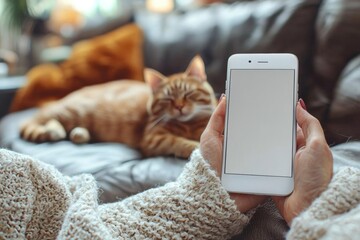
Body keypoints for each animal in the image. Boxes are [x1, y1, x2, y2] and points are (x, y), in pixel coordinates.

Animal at [20, 55, 217, 158]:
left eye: (188, 94)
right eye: (168, 99)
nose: (179, 107)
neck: (189, 124)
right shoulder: (154, 138)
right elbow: (180, 142)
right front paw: (194, 147)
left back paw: (78, 134)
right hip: (74, 111)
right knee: (42, 119)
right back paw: (55, 130)